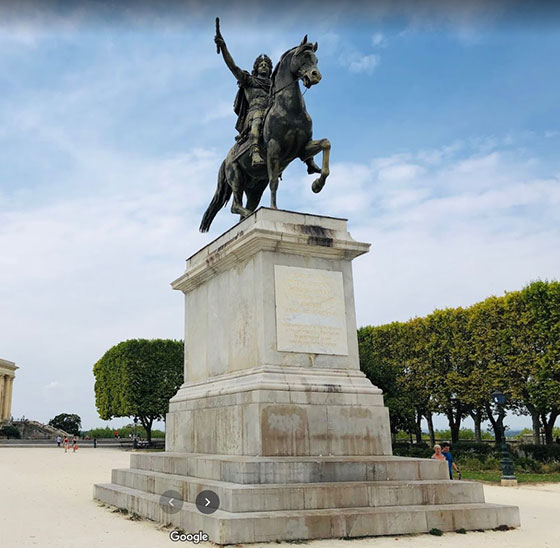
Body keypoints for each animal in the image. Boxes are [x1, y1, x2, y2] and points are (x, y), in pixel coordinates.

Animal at [200, 34, 328, 231]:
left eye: (316, 59)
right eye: (304, 56)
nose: (316, 75)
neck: (290, 109)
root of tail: (225, 160)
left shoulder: (301, 149)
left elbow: (326, 144)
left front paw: (317, 184)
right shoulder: (274, 150)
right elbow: (274, 182)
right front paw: (274, 209)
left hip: (255, 187)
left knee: (244, 208)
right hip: (236, 176)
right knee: (236, 206)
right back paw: (250, 215)